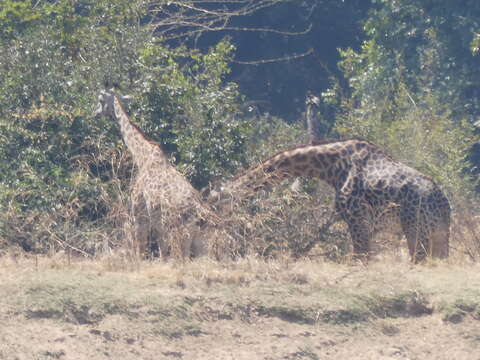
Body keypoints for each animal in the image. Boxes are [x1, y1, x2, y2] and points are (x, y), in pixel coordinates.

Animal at [208, 138, 452, 262]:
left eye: (215, 202)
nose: (209, 221)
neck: (331, 167)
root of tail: (443, 205)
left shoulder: (356, 219)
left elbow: (360, 258)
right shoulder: (368, 224)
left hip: (415, 228)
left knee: (419, 259)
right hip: (438, 233)